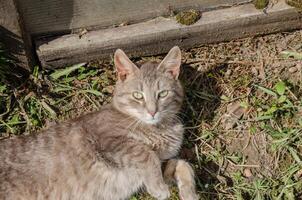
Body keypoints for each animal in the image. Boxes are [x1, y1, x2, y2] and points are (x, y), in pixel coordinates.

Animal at [0, 46, 198, 200]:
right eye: (137, 95)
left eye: (162, 94)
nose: (152, 111)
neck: (157, 128)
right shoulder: (107, 140)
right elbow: (146, 153)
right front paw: (159, 188)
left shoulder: (162, 160)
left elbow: (181, 163)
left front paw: (189, 193)